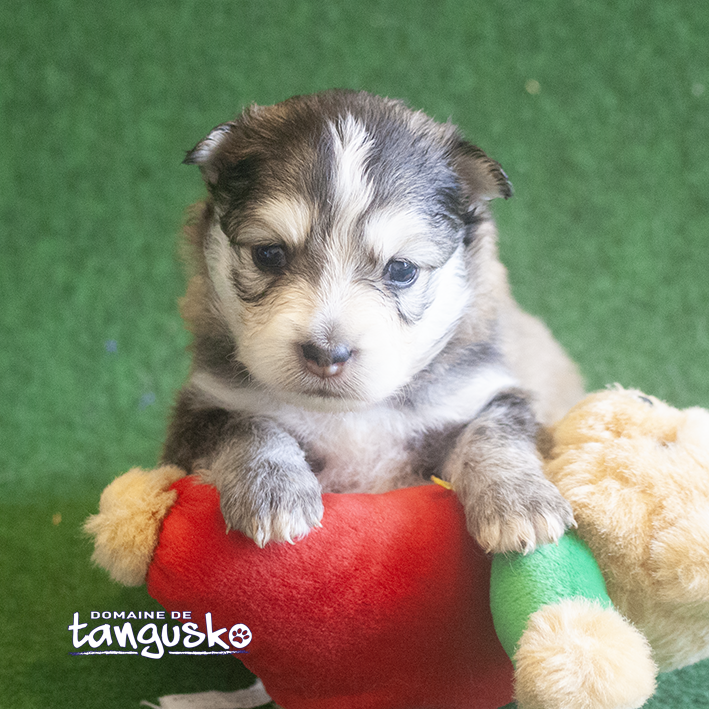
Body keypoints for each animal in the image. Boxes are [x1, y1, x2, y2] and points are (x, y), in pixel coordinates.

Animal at [163, 88, 584, 552]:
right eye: (269, 254)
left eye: (401, 269)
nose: (326, 354)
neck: (352, 415)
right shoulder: (203, 407)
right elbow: (248, 427)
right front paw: (274, 491)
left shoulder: (483, 391)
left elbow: (494, 433)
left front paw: (521, 503)